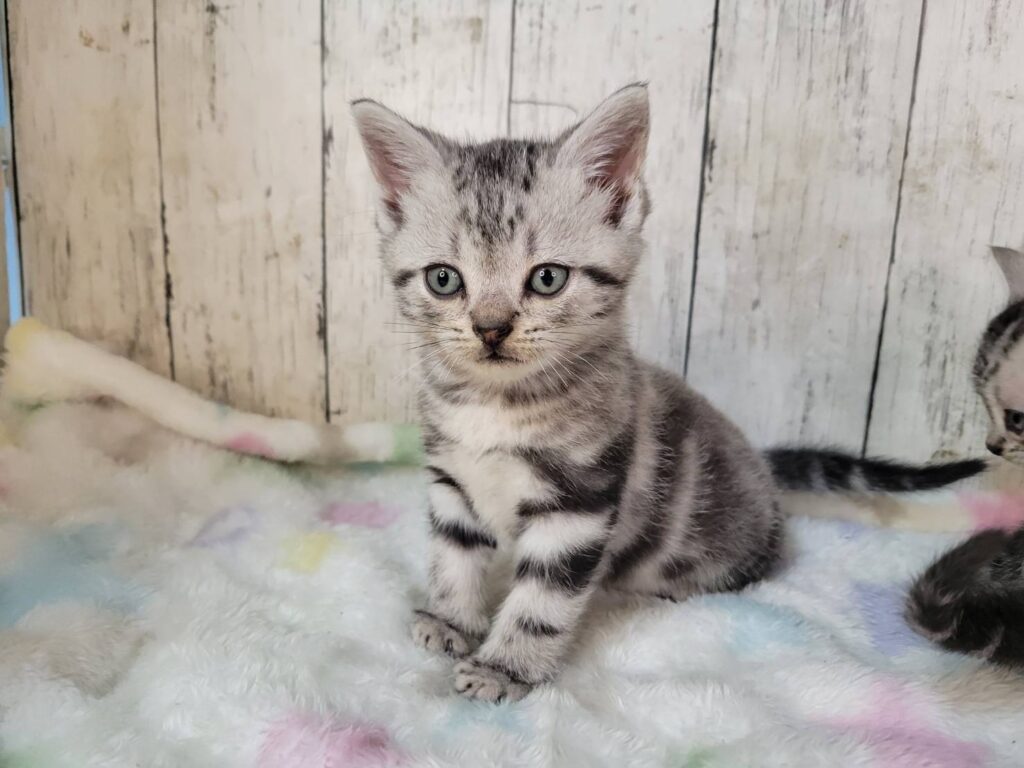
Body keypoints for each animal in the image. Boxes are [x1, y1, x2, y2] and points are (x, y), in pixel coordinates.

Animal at [352, 84, 986, 702]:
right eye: (444, 279)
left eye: (547, 278)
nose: (490, 329)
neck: (496, 405)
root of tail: (760, 463)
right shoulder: (452, 481)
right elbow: (454, 557)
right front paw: (452, 621)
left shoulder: (579, 503)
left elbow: (541, 601)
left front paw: (504, 668)